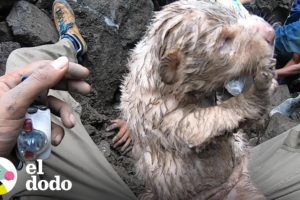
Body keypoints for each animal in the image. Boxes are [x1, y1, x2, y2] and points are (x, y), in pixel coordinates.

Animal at [120, 0, 276, 199]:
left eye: (238, 11)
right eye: (225, 40)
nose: (271, 33)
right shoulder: (156, 111)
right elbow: (194, 125)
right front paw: (261, 87)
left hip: (241, 180)